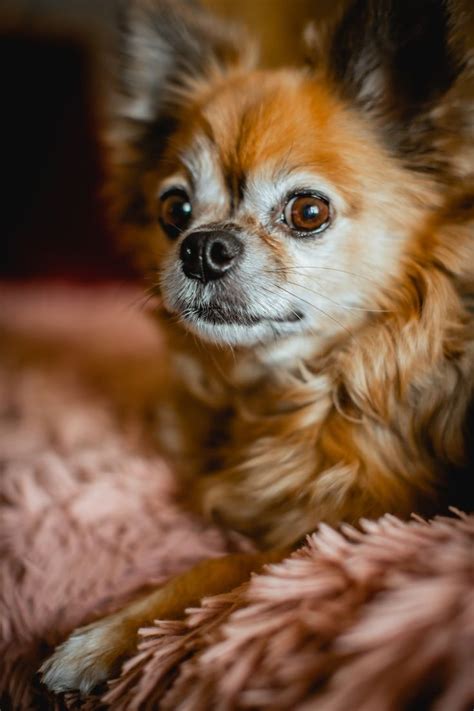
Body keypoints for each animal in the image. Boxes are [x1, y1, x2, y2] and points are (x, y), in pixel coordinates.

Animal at [41, 0, 474, 696]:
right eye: (174, 209)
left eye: (307, 212)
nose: (201, 246)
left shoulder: (368, 525)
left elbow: (225, 566)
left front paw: (101, 638)